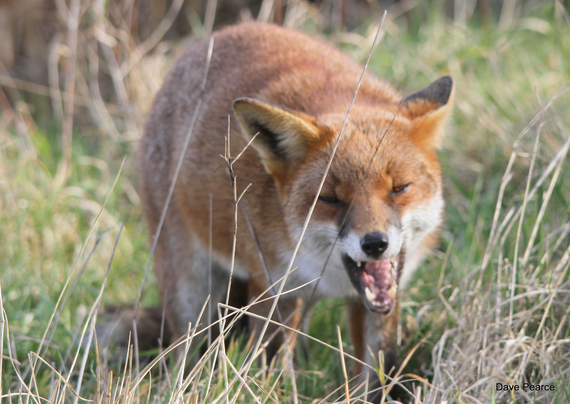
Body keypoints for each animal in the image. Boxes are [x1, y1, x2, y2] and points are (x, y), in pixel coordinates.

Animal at [135, 21, 450, 392]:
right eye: (330, 198)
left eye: (399, 188)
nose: (375, 244)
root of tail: (214, 36)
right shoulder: (273, 287)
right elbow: (273, 370)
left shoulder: (377, 302)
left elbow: (375, 371)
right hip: (191, 289)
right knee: (183, 348)